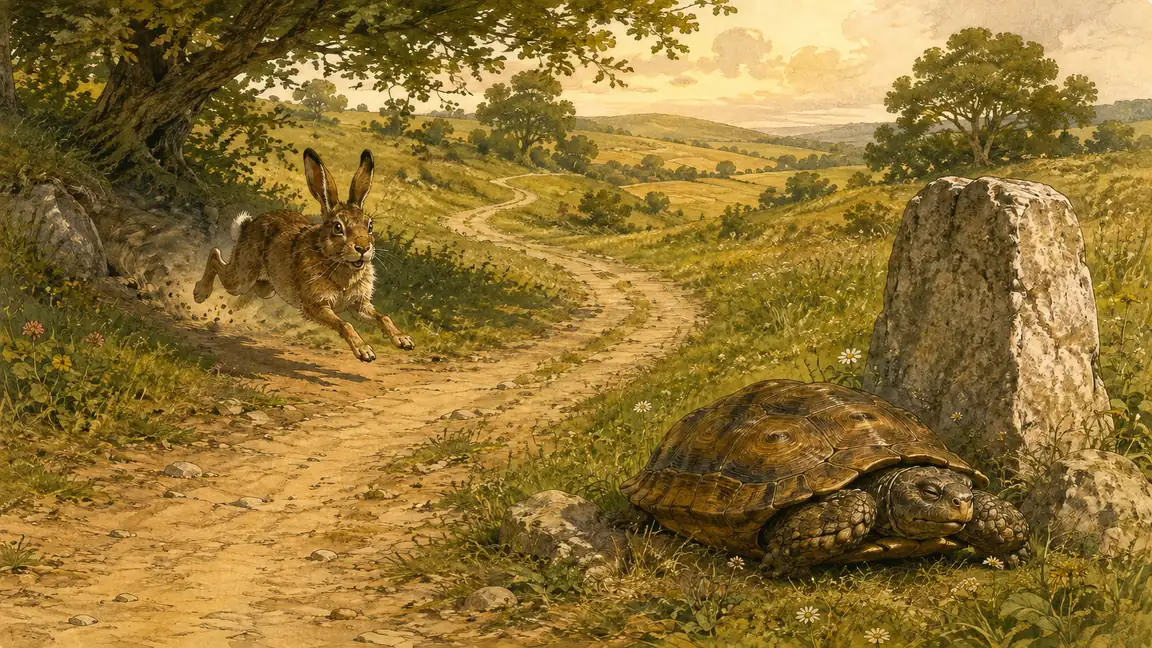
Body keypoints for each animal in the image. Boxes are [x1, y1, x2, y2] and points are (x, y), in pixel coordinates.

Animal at [193, 147, 414, 362]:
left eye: (370, 226)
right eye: (338, 227)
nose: (362, 248)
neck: (337, 263)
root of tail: (248, 225)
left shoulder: (359, 304)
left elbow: (383, 317)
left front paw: (404, 340)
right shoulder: (315, 305)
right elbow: (345, 325)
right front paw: (364, 351)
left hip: (265, 288)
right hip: (242, 277)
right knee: (215, 255)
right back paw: (200, 293)